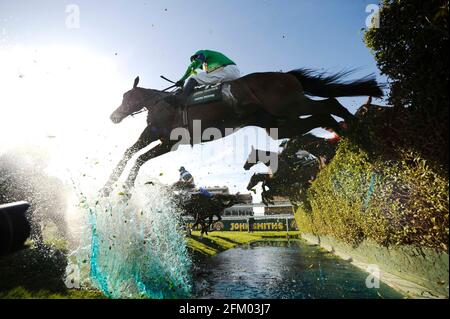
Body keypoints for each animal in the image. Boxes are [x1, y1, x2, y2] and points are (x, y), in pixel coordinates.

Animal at [101, 69, 380, 198]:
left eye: (127, 98)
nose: (113, 116)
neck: (161, 102)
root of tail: (287, 75)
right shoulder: (159, 138)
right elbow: (132, 153)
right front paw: (111, 187)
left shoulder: (165, 139)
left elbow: (137, 156)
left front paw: (120, 188)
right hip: (279, 124)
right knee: (324, 115)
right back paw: (356, 140)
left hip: (290, 106)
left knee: (329, 104)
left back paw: (360, 136)